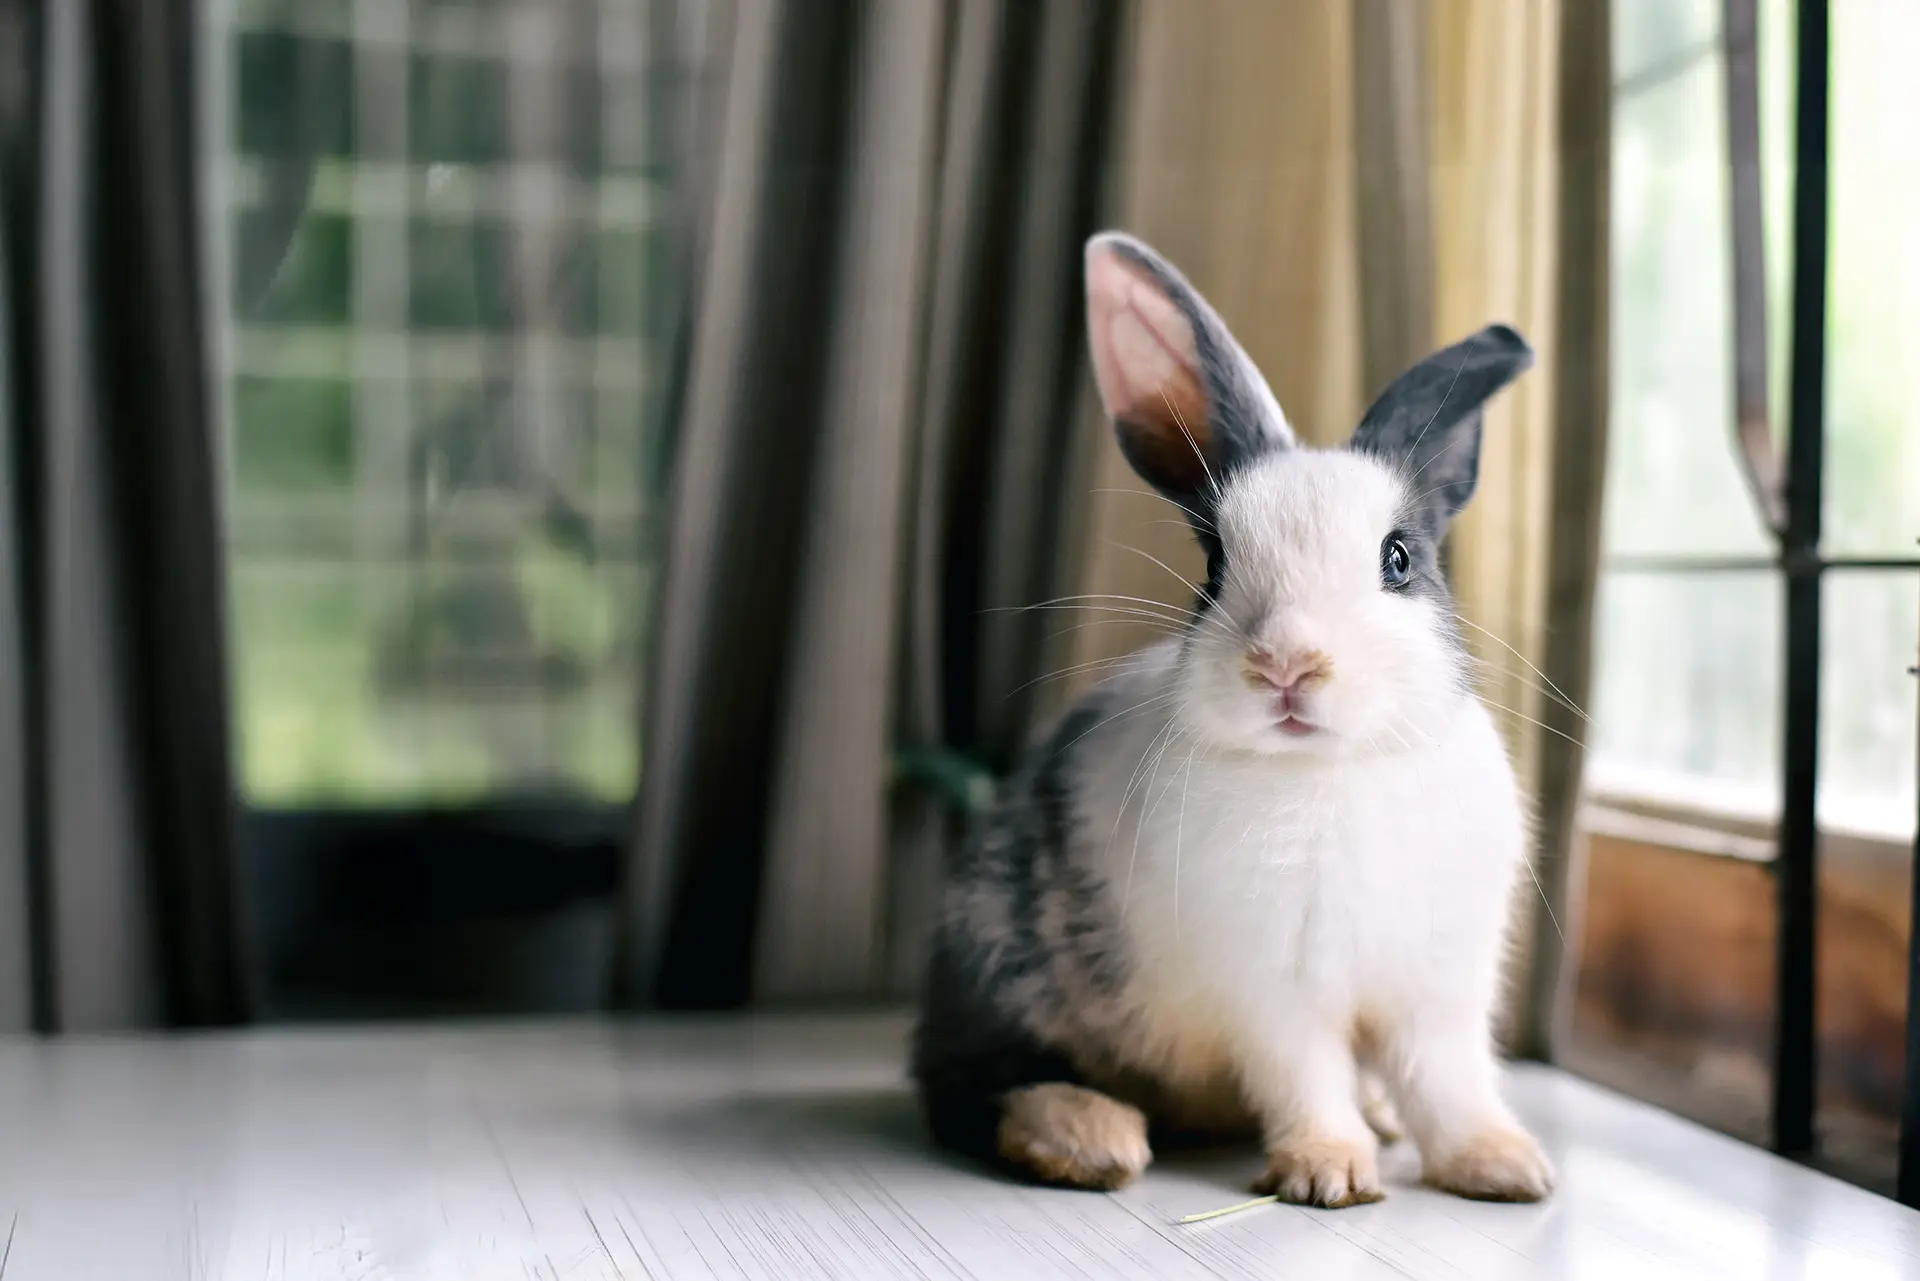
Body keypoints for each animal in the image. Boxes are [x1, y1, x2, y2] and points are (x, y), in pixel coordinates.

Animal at [906, 233, 1551, 1213]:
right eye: (1213, 566)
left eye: (1399, 558)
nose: (1287, 663)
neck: (1332, 770)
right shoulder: (1273, 992)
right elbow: (1307, 1077)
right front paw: (1330, 1171)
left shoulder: (1439, 990)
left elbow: (1449, 1081)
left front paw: (1505, 1167)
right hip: (997, 964)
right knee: (970, 1085)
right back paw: (1090, 1135)